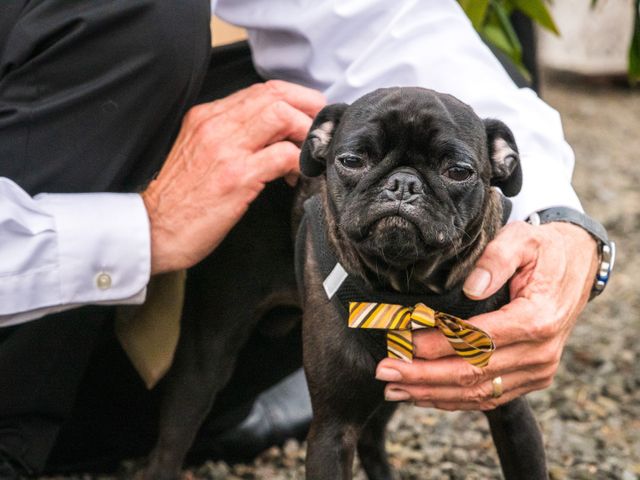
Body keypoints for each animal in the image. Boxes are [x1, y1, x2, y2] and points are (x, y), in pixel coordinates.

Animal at [298, 87, 544, 480]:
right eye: (352, 160)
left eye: (458, 171)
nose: (403, 183)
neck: (409, 289)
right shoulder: (331, 429)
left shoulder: (512, 411)